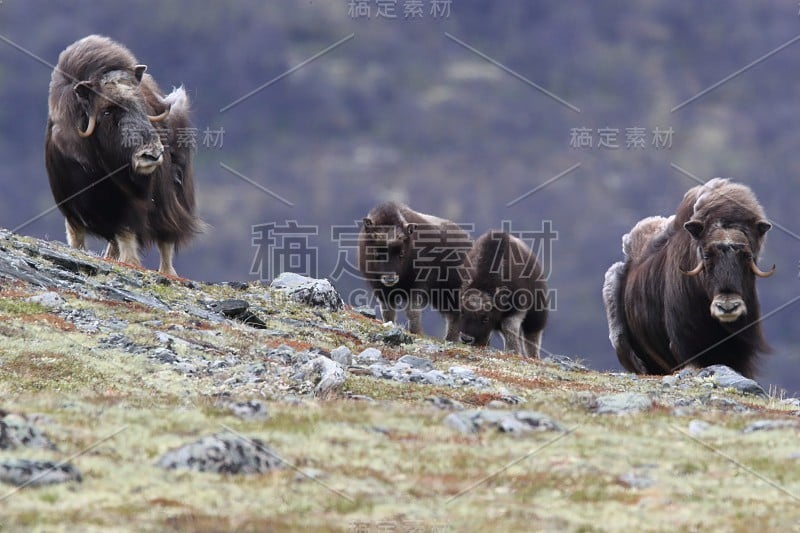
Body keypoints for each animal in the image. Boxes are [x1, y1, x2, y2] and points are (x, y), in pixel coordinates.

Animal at [44, 34, 203, 274]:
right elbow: (77, 240)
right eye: (107, 111)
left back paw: (167, 272)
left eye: (142, 105)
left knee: (166, 241)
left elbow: (128, 239)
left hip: (171, 201)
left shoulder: (127, 210)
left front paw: (130, 263)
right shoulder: (72, 210)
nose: (152, 154)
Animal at [354, 202, 468, 338]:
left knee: (455, 315)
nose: (390, 278)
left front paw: (416, 332)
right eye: (377, 253)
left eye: (402, 253)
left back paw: (450, 338)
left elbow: (412, 312)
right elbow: (388, 311)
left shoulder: (417, 286)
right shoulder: (381, 290)